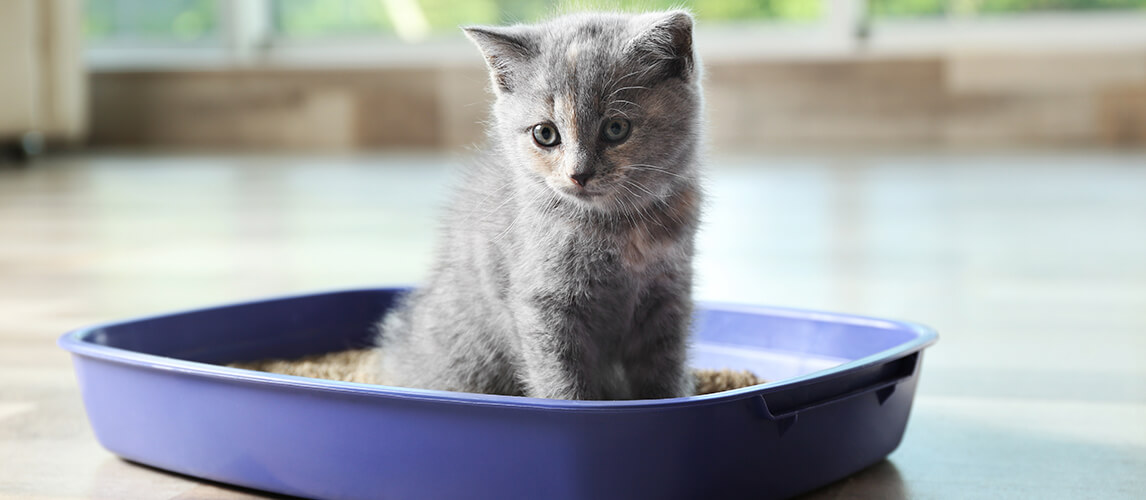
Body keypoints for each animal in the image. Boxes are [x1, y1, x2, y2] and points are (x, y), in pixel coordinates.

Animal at [375, 10, 701, 401]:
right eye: (545, 134)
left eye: (616, 128)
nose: (579, 174)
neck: (617, 229)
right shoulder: (543, 305)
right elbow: (561, 378)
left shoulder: (668, 296)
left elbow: (664, 371)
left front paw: (672, 398)